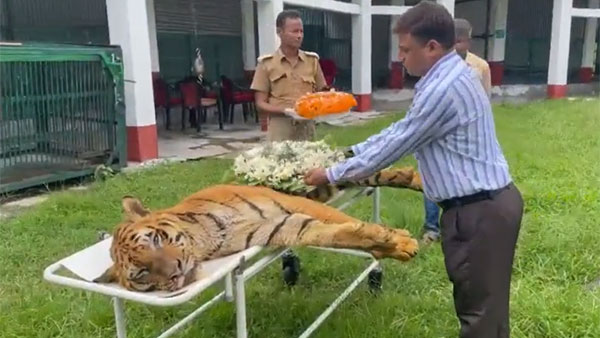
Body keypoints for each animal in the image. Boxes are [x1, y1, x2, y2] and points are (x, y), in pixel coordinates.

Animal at [95, 178, 422, 292]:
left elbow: (342, 219)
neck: (204, 240)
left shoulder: (289, 204)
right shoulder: (281, 226)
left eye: (155, 240)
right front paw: (391, 246)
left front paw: (401, 240)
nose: (175, 274)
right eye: (141, 274)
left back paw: (416, 179)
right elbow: (334, 233)